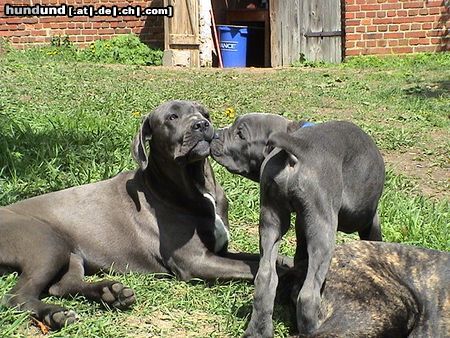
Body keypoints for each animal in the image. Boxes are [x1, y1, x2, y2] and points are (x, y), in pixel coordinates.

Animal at [0, 101, 268, 330]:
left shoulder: (219, 251)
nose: (201, 125)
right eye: (172, 117)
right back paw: (55, 313)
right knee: (15, 297)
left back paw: (110, 293)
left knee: (62, 285)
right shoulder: (195, 261)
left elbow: (255, 259)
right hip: (47, 243)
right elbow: (257, 267)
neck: (196, 185)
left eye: (205, 113)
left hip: (70, 253)